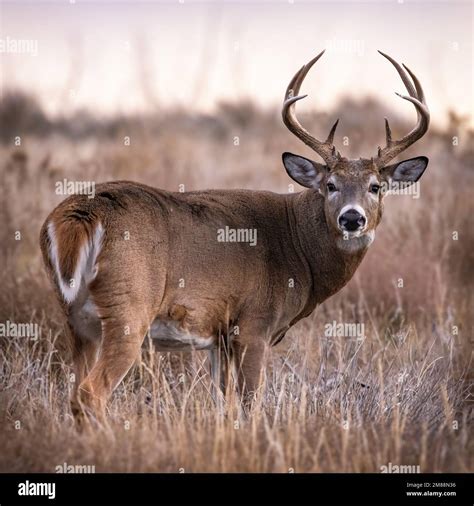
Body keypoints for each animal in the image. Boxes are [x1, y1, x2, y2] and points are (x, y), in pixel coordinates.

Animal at [39, 51, 430, 422]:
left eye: (376, 186)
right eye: (330, 185)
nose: (351, 218)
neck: (298, 249)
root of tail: (77, 215)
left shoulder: (220, 338)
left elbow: (222, 406)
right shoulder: (254, 324)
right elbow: (249, 404)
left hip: (77, 322)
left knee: (74, 390)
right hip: (128, 310)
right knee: (89, 394)